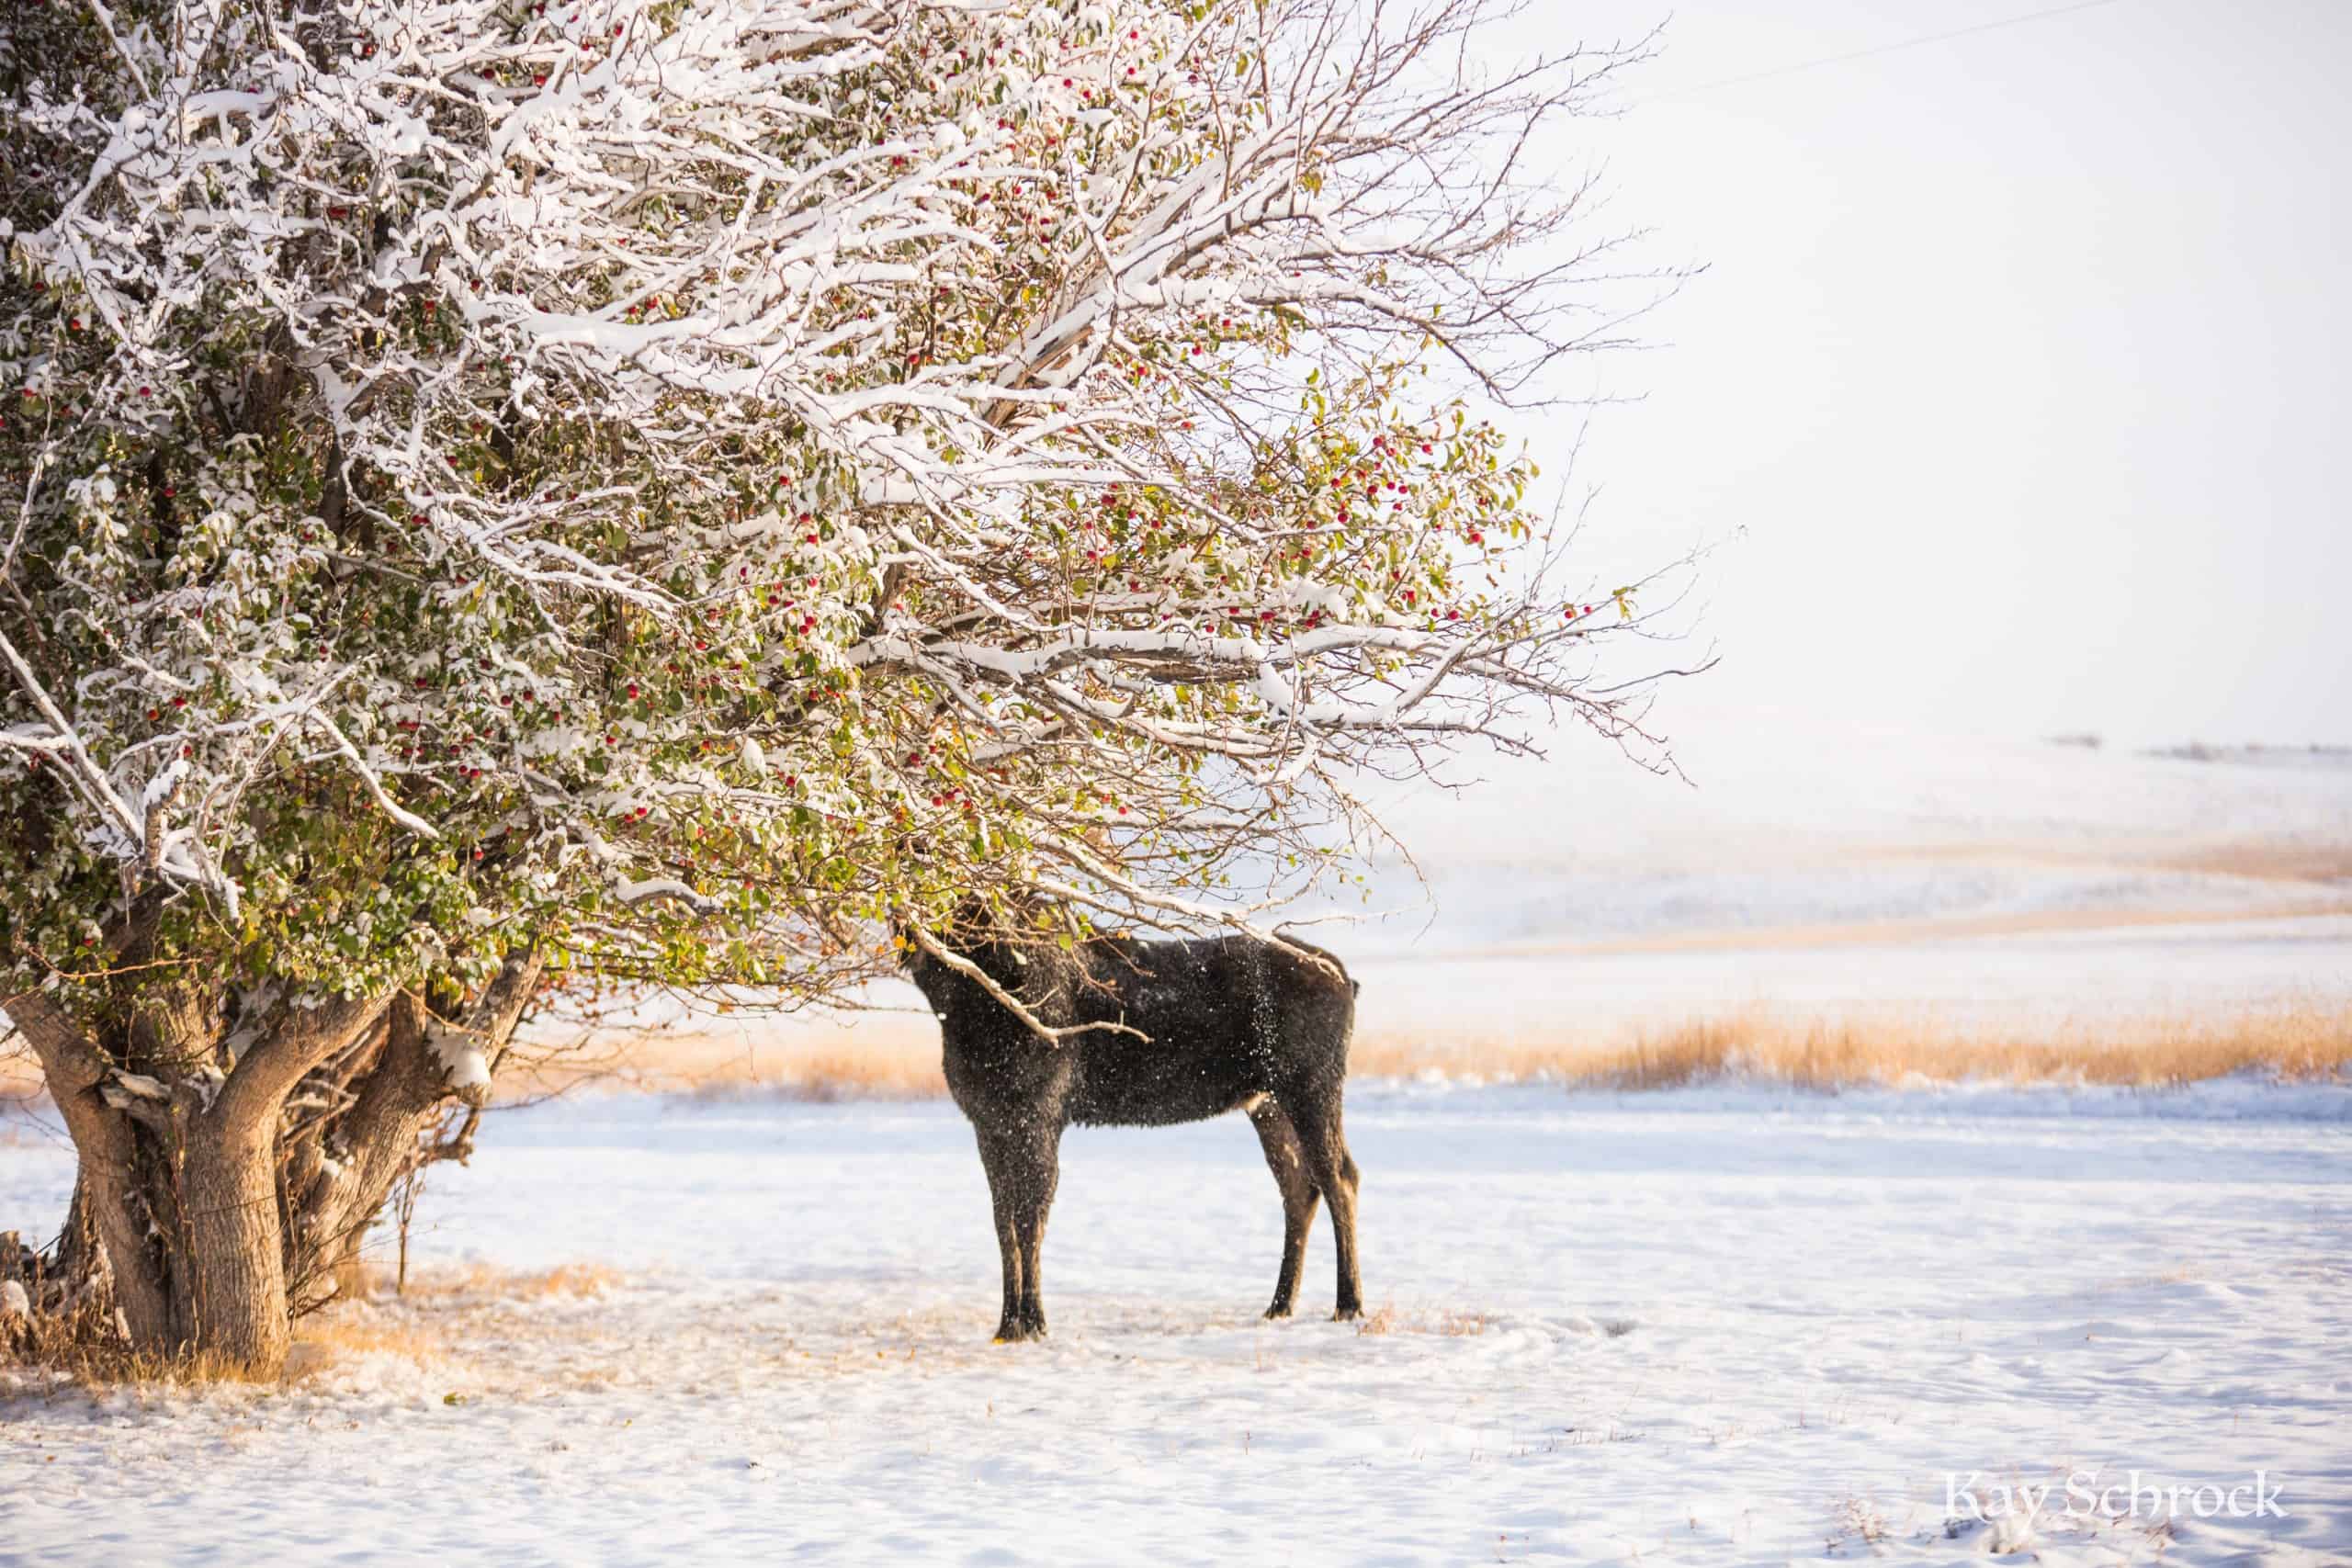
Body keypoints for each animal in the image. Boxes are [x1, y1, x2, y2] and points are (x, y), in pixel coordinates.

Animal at [901, 912, 1364, 1342]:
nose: (909, 936)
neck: (964, 1008)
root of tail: (1347, 980)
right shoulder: (990, 1123)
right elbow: (1004, 1225)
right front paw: (1007, 1325)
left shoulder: (1039, 1115)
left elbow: (1030, 1221)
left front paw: (1033, 1322)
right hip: (1266, 1103)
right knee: (1299, 1187)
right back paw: (1280, 1305)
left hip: (1310, 1086)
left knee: (1340, 1177)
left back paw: (1348, 1304)